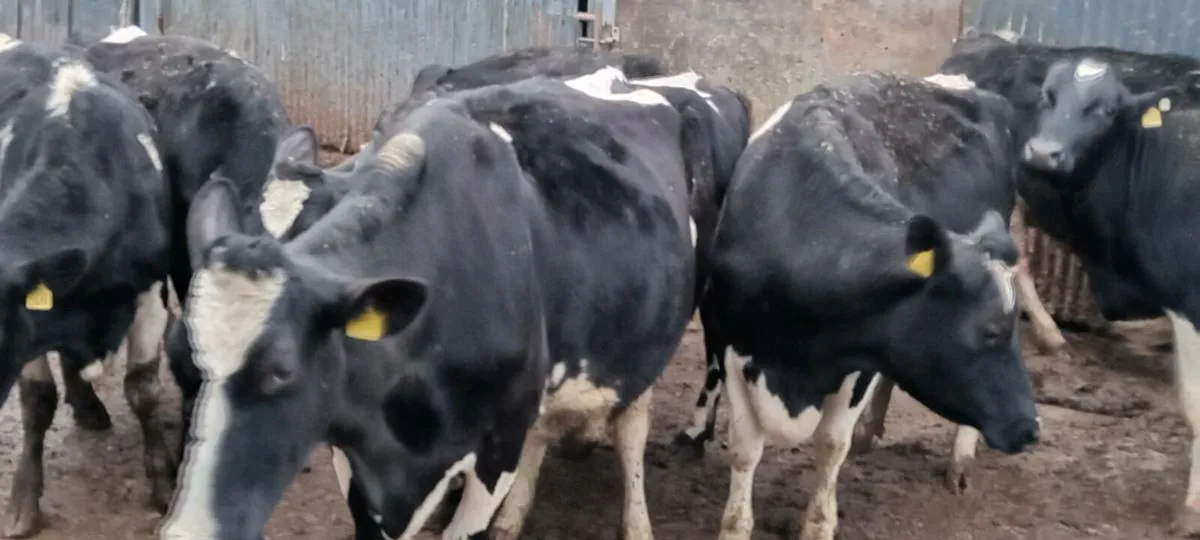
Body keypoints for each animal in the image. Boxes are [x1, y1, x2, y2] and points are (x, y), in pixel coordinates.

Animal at [158, 66, 695, 540]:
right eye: (184, 359)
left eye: (280, 371)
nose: (188, 532)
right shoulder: (358, 455)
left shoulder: (498, 448)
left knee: (632, 432)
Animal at [700, 71, 1040, 540]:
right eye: (991, 331)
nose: (1031, 428)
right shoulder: (730, 345)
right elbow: (745, 448)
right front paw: (734, 527)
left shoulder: (860, 362)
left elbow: (830, 446)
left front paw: (819, 525)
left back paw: (959, 462)